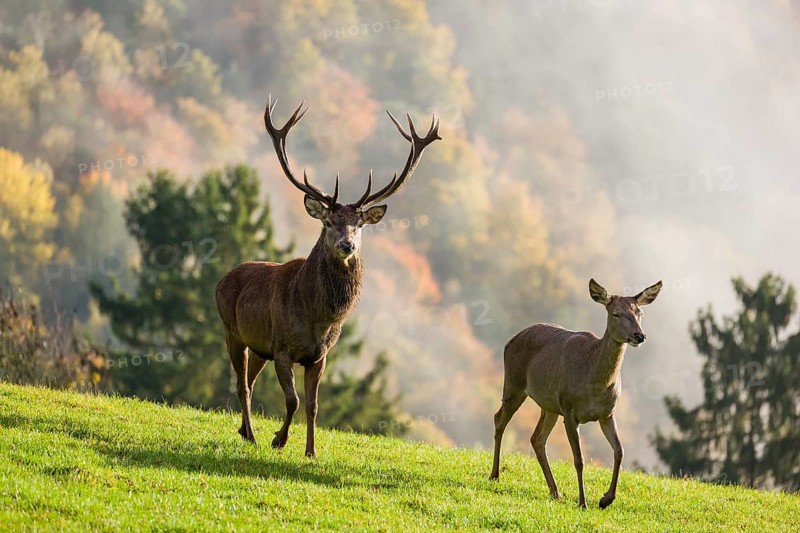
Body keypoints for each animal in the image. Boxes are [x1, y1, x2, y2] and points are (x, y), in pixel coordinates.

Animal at [215, 96, 440, 458]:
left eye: (359, 224)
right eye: (329, 222)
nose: (347, 245)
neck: (317, 318)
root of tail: (223, 279)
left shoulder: (319, 355)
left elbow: (313, 405)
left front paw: (311, 451)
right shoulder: (282, 347)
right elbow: (292, 401)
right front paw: (279, 440)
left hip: (257, 345)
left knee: (247, 382)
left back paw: (244, 431)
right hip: (231, 331)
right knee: (241, 385)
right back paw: (251, 434)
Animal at [490, 278, 662, 509]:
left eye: (640, 313)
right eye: (615, 313)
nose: (639, 336)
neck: (594, 385)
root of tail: (509, 341)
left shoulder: (607, 414)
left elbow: (619, 451)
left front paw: (606, 499)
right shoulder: (570, 411)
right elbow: (579, 460)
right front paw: (583, 502)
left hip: (550, 405)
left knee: (537, 438)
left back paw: (555, 492)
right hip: (514, 383)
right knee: (499, 419)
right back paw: (495, 475)